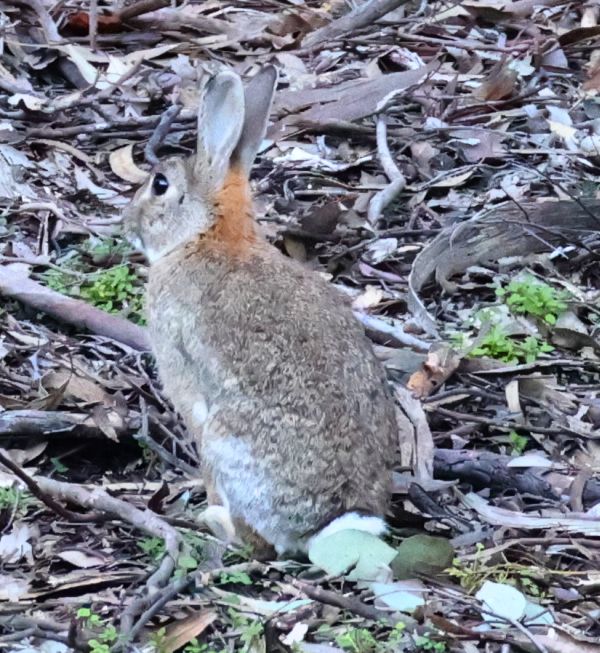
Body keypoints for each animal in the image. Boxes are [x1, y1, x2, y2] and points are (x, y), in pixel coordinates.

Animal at [123, 66, 399, 557]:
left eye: (160, 185)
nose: (127, 224)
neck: (207, 235)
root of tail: (329, 522)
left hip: (225, 439)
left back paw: (215, 521)